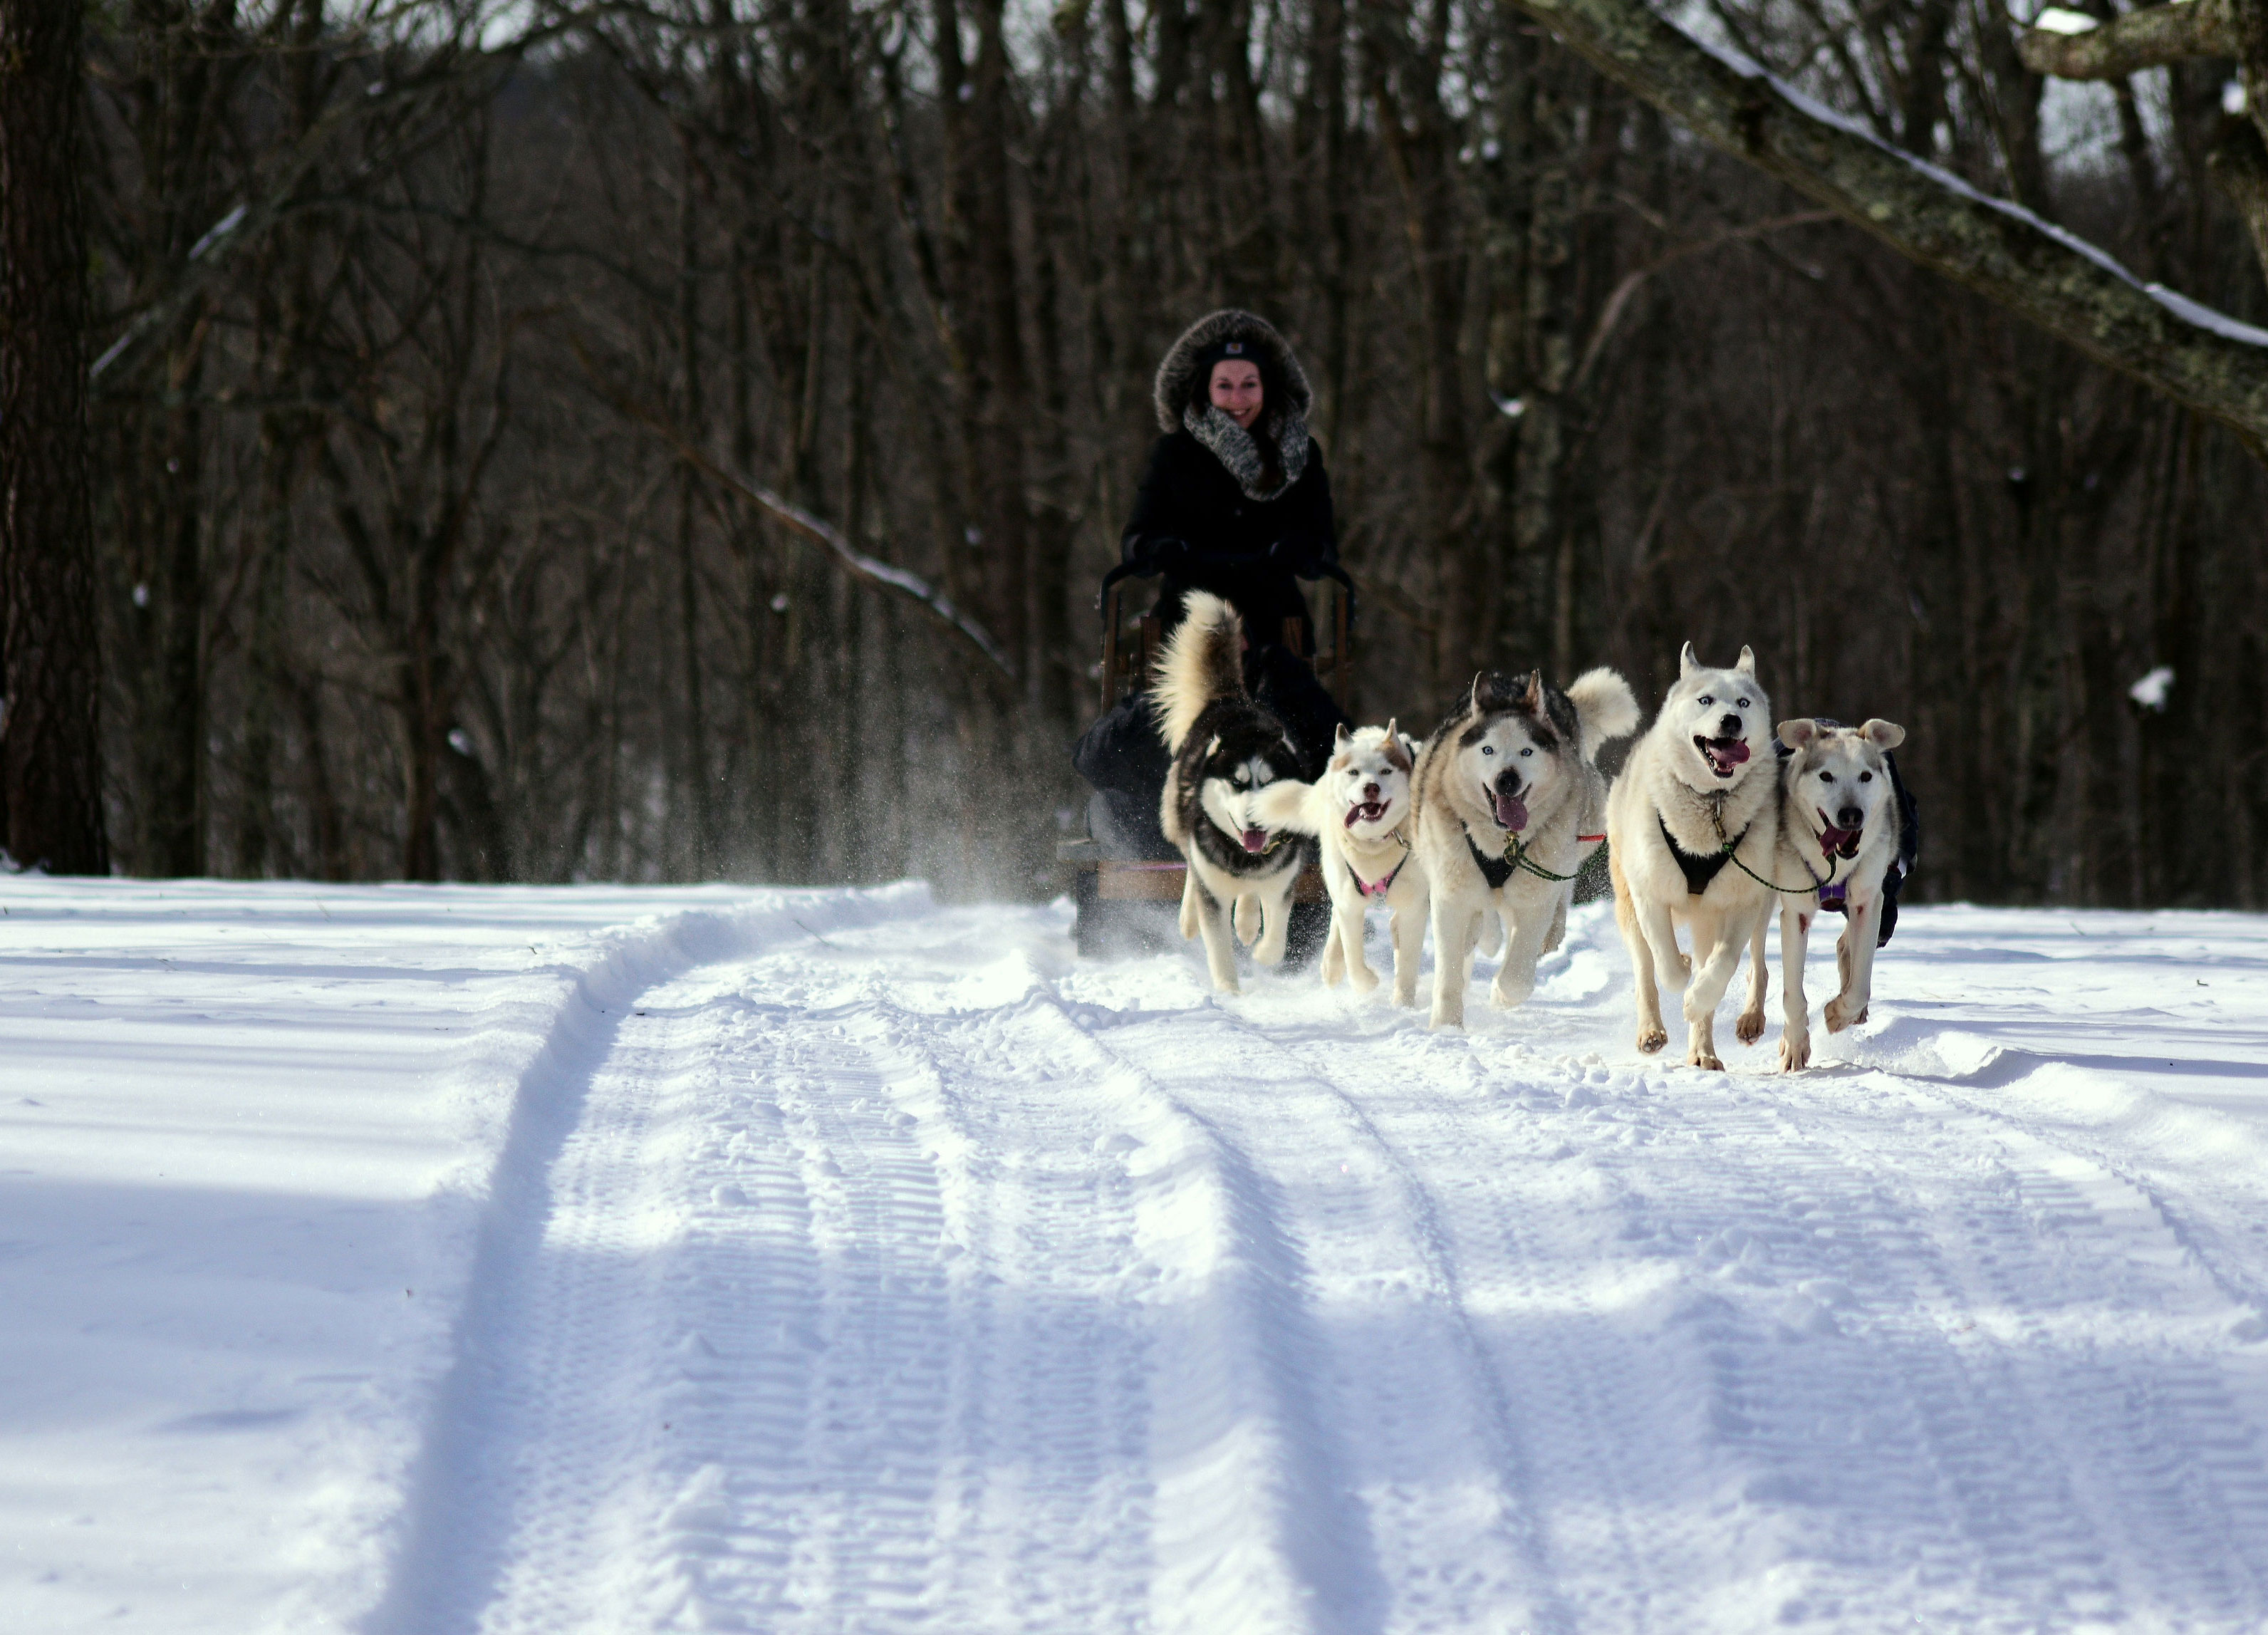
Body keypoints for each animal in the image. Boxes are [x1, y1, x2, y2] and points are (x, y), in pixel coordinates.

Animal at [1152, 589, 1315, 988]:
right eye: (1237, 782)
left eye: (1269, 783)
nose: (1255, 819)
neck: (1246, 858)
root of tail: (1232, 700)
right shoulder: (1212, 886)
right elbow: (1218, 947)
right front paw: (1229, 993)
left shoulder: (1283, 879)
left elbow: (1277, 935)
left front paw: (1261, 949)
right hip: (1178, 819)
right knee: (1189, 864)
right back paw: (1189, 918)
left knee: (1248, 898)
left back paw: (1246, 922)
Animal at [1252, 721, 1424, 1002]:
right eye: (1354, 772)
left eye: (1385, 771)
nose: (1371, 787)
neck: (1375, 844)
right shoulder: (1351, 903)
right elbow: (1353, 956)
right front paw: (1366, 983)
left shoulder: (1414, 907)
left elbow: (1407, 964)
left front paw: (1403, 1004)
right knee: (1338, 922)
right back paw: (1332, 966)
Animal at [1406, 662, 1642, 1020]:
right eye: (1488, 749)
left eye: (1526, 751)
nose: (1507, 779)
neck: (1502, 841)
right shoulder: (1451, 895)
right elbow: (1449, 971)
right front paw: (1447, 1024)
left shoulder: (1533, 898)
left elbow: (1516, 978)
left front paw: (1500, 998)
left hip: (1581, 832)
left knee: (1563, 885)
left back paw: (1551, 932)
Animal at [1606, 643, 1778, 1066]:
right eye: (1706, 700)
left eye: (1744, 702)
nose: (1731, 720)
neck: (1711, 802)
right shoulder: (1649, 895)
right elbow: (1666, 964)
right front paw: (1683, 972)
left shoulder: (1743, 900)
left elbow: (1724, 964)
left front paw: (1697, 996)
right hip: (1628, 904)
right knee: (1645, 970)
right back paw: (1652, 1031)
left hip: (1758, 903)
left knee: (1757, 965)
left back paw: (1717, 1042)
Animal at [1751, 716, 1914, 1070]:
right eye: (1826, 776)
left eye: (1865, 776)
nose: (1851, 814)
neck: (1834, 863)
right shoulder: (1795, 912)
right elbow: (1793, 994)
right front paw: (1795, 1046)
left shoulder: (1869, 901)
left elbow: (1859, 987)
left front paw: (1838, 1014)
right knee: (1758, 964)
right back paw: (1751, 1018)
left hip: (1884, 913)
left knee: (1849, 947)